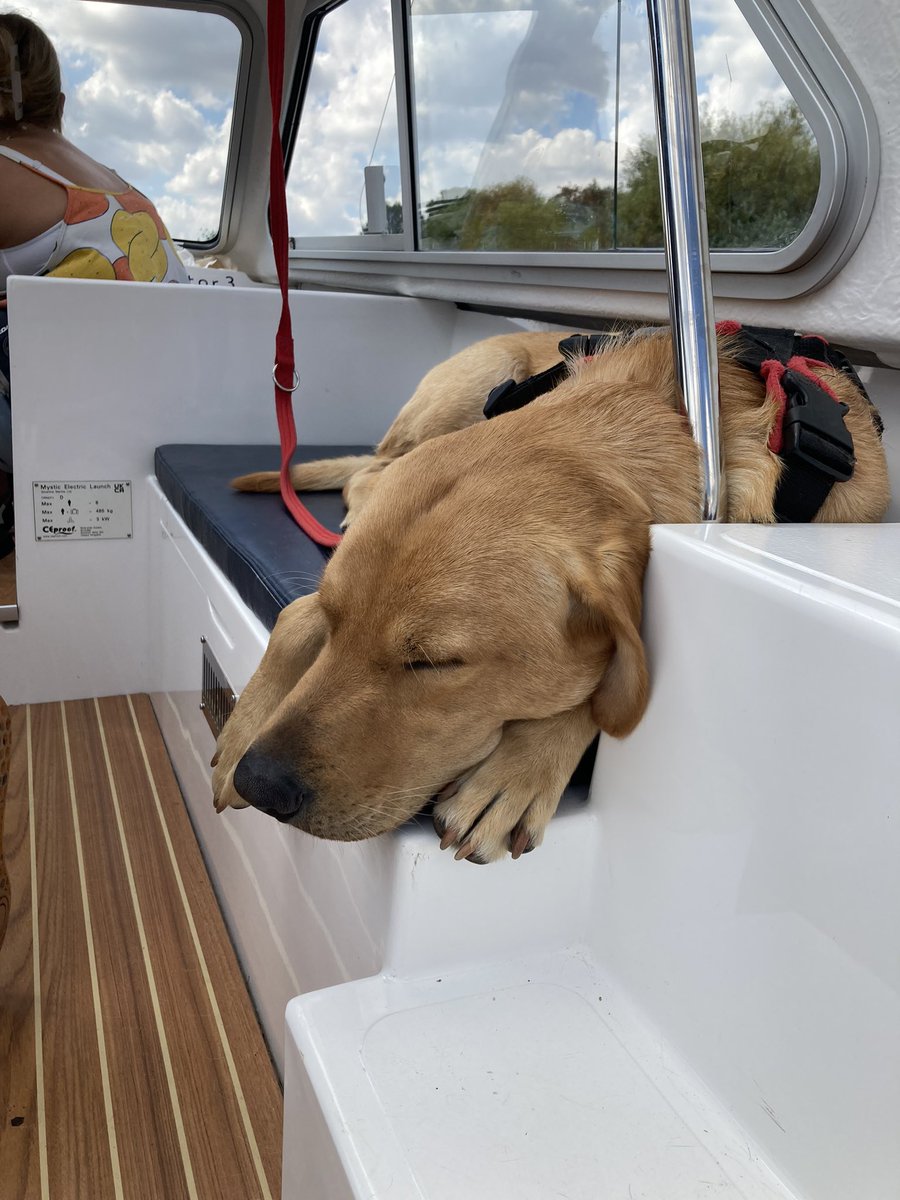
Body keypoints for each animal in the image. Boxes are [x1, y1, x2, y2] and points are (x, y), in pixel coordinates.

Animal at [213, 328, 897, 864]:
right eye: (337, 620)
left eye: (434, 664)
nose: (261, 782)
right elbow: (296, 613)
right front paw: (249, 722)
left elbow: (602, 688)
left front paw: (517, 772)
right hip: (469, 381)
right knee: (367, 473)